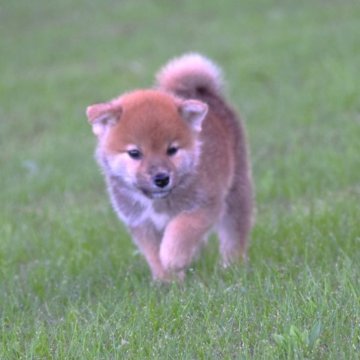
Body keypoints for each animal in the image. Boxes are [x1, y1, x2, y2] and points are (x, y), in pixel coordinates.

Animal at [86, 52, 253, 282]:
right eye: (135, 153)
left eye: (172, 150)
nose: (161, 178)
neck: (156, 202)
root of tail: (205, 92)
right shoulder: (141, 222)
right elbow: (153, 253)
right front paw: (167, 280)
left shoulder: (205, 205)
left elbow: (180, 231)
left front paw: (173, 260)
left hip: (236, 186)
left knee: (235, 232)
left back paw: (231, 265)